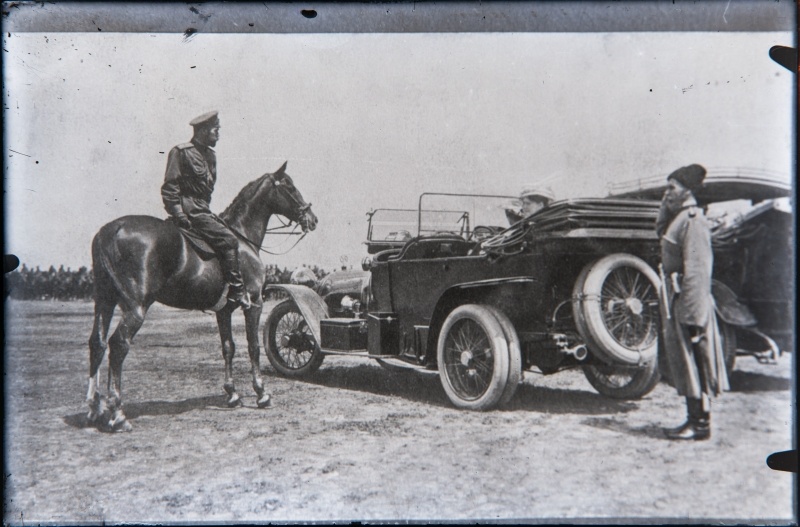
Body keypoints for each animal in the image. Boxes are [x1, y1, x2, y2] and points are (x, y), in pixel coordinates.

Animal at [85, 163, 316, 432]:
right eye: (289, 186)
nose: (312, 219)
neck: (241, 238)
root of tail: (111, 230)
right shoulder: (254, 304)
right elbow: (253, 347)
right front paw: (261, 393)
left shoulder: (224, 311)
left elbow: (228, 347)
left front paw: (232, 394)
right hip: (136, 307)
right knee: (118, 344)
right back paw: (117, 413)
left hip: (105, 301)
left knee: (97, 343)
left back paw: (94, 407)